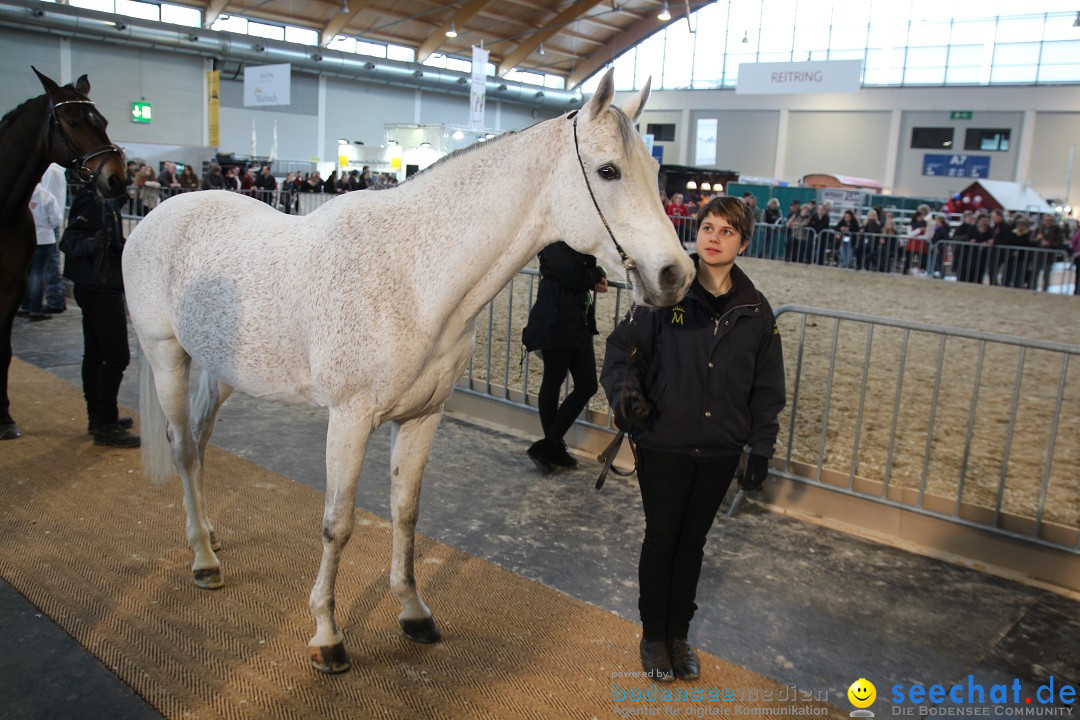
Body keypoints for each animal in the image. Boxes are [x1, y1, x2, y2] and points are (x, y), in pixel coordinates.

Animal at [0, 69, 127, 440]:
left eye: (102, 120)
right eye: (71, 121)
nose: (116, 178)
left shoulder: (12, 286)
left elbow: (4, 350)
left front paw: (4, 418)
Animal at [120, 69, 691, 677]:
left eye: (655, 172)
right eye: (608, 171)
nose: (675, 274)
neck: (413, 278)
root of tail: (160, 214)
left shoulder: (422, 417)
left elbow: (406, 513)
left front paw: (413, 611)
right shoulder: (348, 420)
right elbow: (338, 523)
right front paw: (327, 634)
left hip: (222, 369)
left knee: (201, 440)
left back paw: (208, 534)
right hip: (167, 357)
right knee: (183, 448)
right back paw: (204, 559)